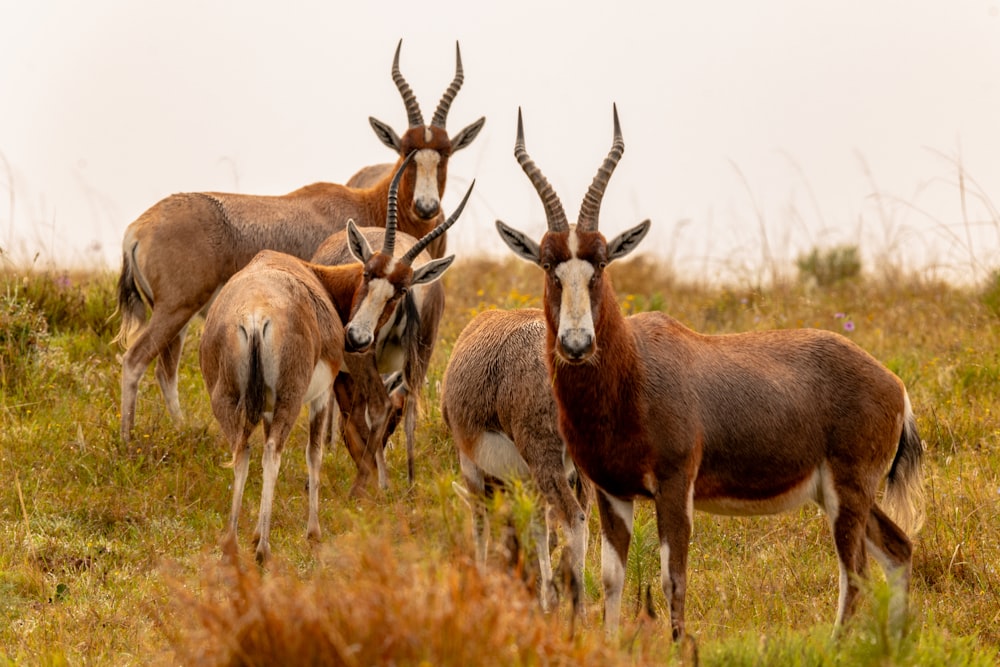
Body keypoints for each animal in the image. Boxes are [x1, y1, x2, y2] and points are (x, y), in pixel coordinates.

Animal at [115, 37, 486, 444]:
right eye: (406, 150)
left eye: (446, 152)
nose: (426, 207)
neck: (365, 204)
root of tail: (137, 228)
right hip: (174, 310)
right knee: (135, 360)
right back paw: (127, 441)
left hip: (177, 316)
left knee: (164, 369)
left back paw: (179, 430)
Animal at [202, 158, 468, 564]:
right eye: (368, 273)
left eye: (398, 289)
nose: (355, 337)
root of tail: (255, 314)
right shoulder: (322, 393)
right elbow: (318, 451)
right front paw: (314, 530)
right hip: (299, 394)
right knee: (279, 448)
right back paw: (269, 543)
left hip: (231, 401)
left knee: (244, 451)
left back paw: (235, 542)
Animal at [440, 308, 592, 616]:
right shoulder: (528, 481)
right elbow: (539, 527)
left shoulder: (470, 464)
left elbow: (480, 524)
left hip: (544, 459)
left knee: (575, 518)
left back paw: (579, 614)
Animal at [496, 107, 924, 640]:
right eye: (549, 265)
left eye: (601, 264)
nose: (577, 345)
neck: (634, 371)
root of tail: (893, 385)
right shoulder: (612, 492)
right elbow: (612, 578)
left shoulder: (675, 485)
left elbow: (673, 578)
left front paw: (678, 646)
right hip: (839, 495)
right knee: (898, 549)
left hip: (849, 490)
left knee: (856, 572)